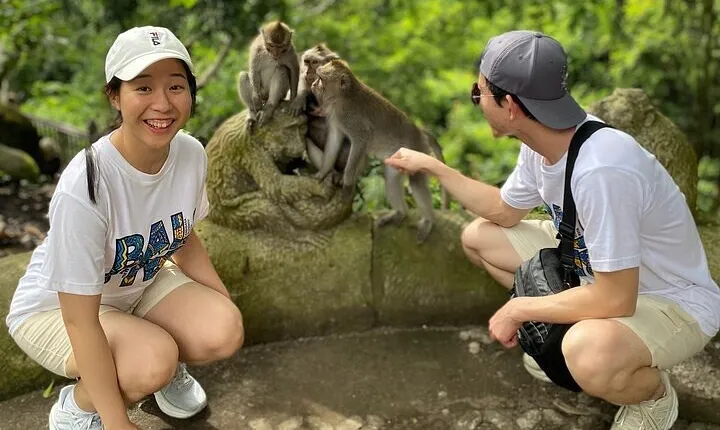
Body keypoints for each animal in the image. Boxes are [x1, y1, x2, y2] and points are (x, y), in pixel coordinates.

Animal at [310, 59, 449, 244]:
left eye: (320, 79)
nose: (312, 84)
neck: (342, 97)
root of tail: (420, 132)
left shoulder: (352, 120)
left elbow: (360, 142)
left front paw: (347, 184)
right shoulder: (335, 117)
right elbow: (334, 140)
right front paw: (322, 173)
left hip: (417, 151)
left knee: (416, 182)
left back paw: (428, 222)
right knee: (391, 178)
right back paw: (400, 214)